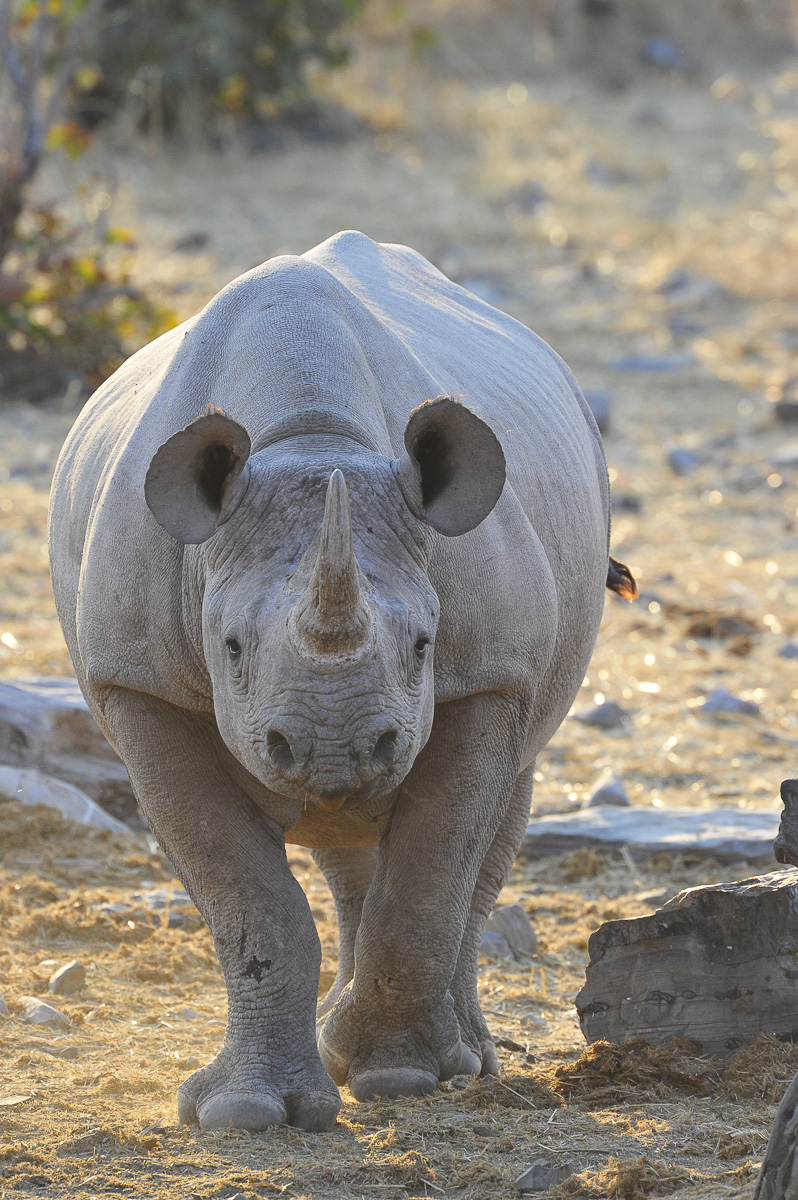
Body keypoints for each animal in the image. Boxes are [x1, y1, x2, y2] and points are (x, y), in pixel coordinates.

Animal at [49, 231, 635, 1133]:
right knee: (349, 843)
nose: (336, 746)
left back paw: (462, 1059)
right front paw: (246, 1111)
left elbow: (431, 872)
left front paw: (399, 1075)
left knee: (498, 807)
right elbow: (244, 891)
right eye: (229, 647)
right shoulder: (138, 684)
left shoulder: (487, 676)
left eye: (426, 643)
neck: (311, 443)